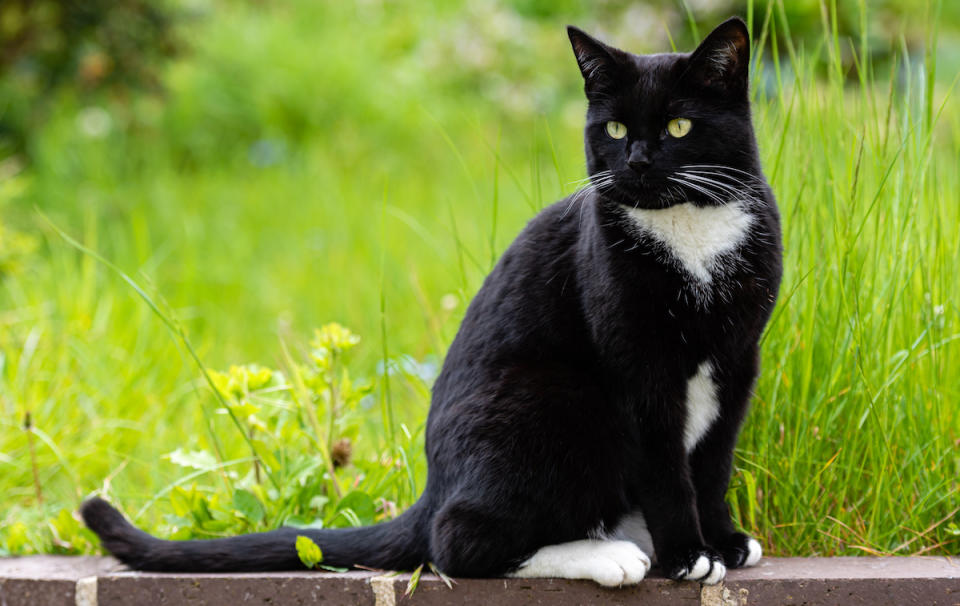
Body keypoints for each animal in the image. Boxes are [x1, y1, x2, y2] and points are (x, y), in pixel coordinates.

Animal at [84, 17, 780, 588]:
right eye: (613, 128)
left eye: (679, 125)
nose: (634, 161)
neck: (691, 232)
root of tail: (431, 489)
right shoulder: (640, 367)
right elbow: (667, 467)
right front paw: (687, 556)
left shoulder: (738, 356)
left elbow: (713, 460)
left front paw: (721, 540)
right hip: (558, 403)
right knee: (459, 543)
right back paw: (609, 556)